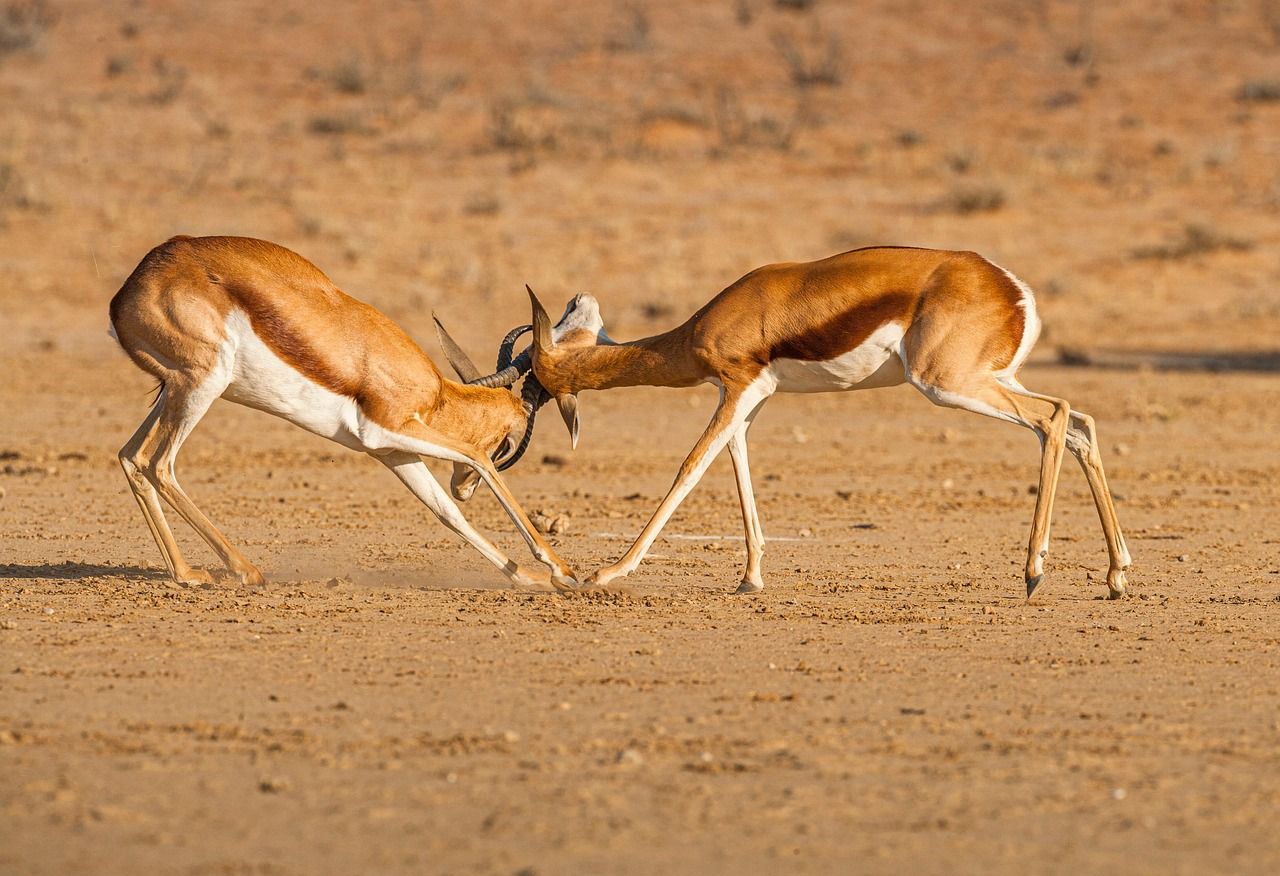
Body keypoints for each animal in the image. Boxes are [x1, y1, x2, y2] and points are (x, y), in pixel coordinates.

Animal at [107, 234, 578, 589]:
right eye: (508, 443)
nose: (462, 488)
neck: (436, 394)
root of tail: (127, 291)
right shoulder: (387, 429)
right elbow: (476, 458)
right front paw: (563, 572)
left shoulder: (393, 451)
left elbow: (447, 512)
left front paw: (531, 579)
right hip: (201, 385)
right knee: (158, 463)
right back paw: (243, 571)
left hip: (174, 390)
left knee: (130, 457)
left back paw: (187, 573)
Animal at [509, 245, 1131, 601]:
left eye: (536, 367)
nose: (578, 294)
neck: (699, 330)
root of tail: (1012, 290)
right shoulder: (748, 400)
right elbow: (737, 467)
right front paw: (750, 578)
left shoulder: (737, 388)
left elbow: (690, 467)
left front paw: (606, 574)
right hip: (990, 379)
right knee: (1081, 424)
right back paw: (1117, 576)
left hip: (948, 384)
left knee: (1054, 417)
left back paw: (1034, 572)